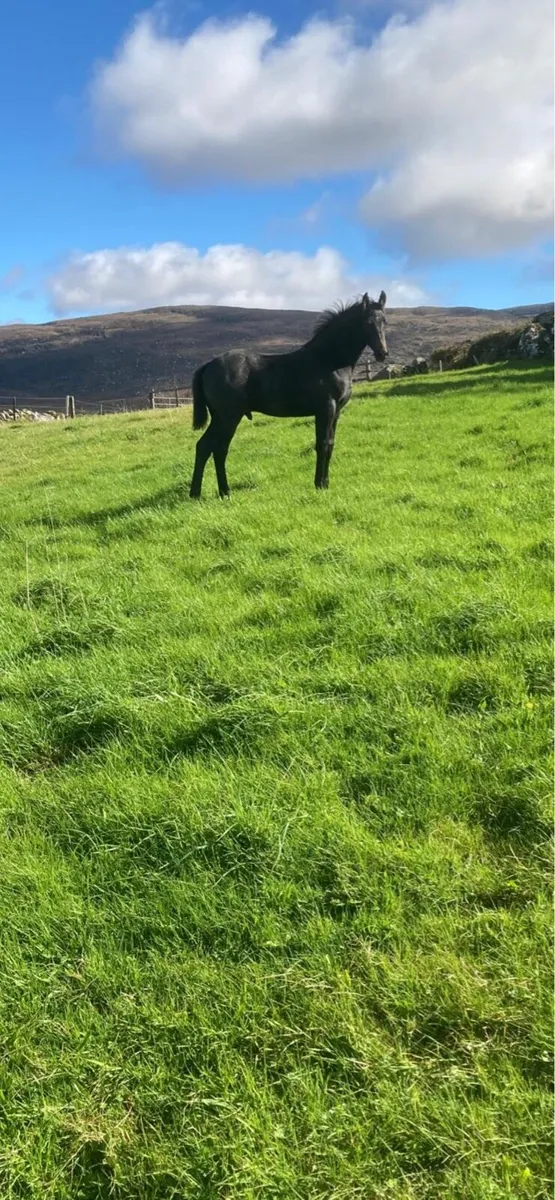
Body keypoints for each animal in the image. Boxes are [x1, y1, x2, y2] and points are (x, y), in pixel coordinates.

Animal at [189, 290, 388, 498]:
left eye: (385, 321)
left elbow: (331, 444)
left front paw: (326, 483)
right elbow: (322, 444)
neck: (329, 359)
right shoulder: (325, 409)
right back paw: (222, 492)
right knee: (217, 448)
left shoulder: (336, 412)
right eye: (367, 323)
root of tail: (208, 365)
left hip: (220, 417)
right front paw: (319, 485)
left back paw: (200, 493)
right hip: (228, 417)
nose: (383, 353)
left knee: (205, 447)